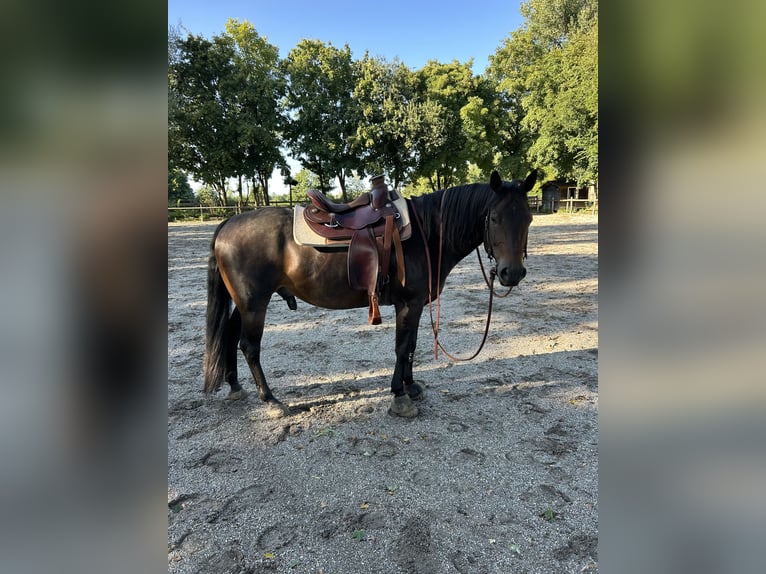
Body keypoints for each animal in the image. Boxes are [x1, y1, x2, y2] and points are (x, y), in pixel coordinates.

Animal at [203, 169, 536, 417]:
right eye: (494, 218)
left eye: (529, 218)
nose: (512, 273)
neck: (427, 233)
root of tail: (229, 222)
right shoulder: (409, 304)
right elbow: (402, 347)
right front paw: (399, 396)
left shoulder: (415, 304)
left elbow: (411, 345)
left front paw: (411, 386)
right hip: (254, 303)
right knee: (249, 346)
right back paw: (271, 400)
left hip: (244, 304)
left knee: (230, 336)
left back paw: (235, 387)